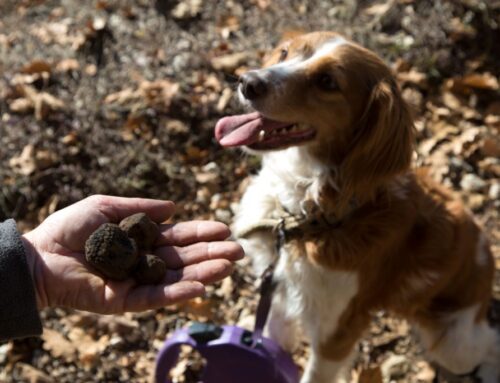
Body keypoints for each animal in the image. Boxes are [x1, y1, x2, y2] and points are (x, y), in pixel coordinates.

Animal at [215, 31, 500, 382]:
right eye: (284, 53)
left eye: (327, 81)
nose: (248, 81)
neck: (315, 216)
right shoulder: (279, 295)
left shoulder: (336, 332)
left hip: (455, 344)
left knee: (489, 344)